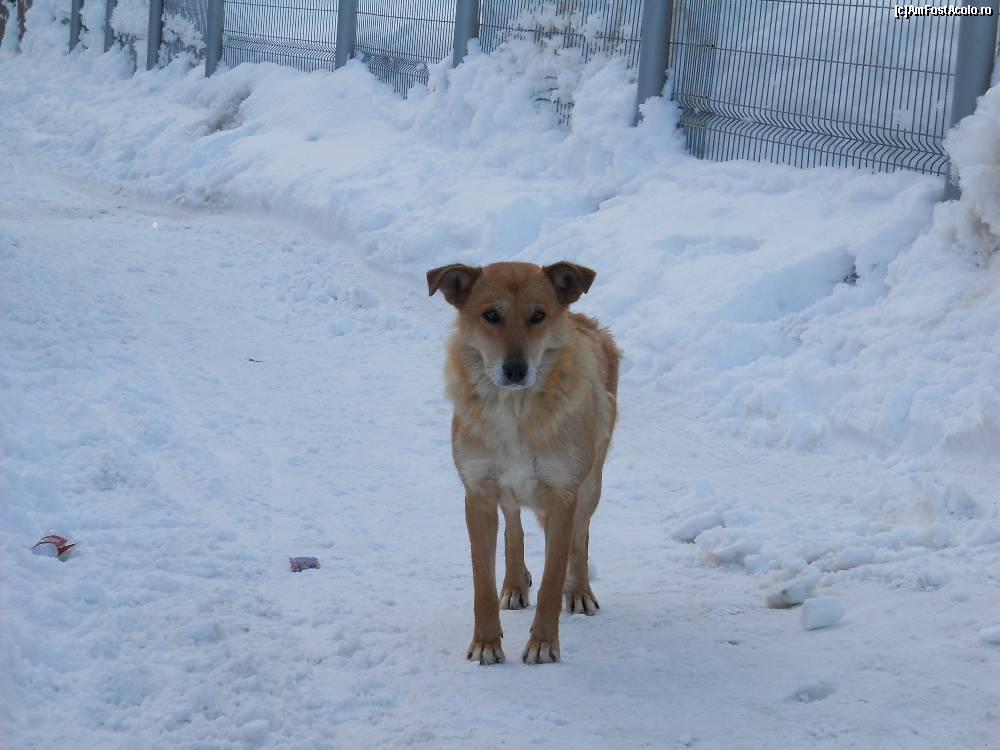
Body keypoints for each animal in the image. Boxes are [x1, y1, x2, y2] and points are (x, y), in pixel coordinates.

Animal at [427, 261, 619, 665]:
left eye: (538, 316)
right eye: (490, 315)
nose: (515, 370)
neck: (515, 411)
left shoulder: (563, 496)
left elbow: (552, 580)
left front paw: (544, 642)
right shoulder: (478, 494)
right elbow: (482, 582)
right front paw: (486, 642)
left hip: (591, 483)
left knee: (581, 537)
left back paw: (579, 591)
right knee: (513, 526)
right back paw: (515, 582)